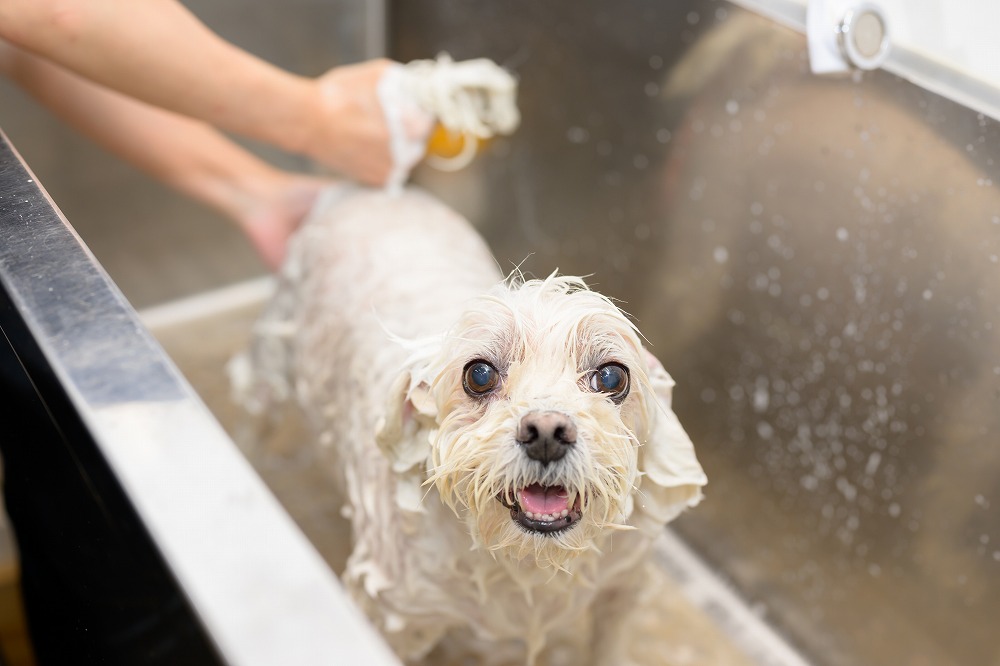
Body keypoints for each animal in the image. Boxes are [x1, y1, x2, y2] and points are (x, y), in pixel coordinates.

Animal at [238, 187, 708, 664]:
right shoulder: (393, 614)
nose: (546, 433)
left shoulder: (622, 586)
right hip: (269, 365)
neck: (527, 563)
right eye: (479, 374)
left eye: (612, 377)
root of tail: (378, 192)